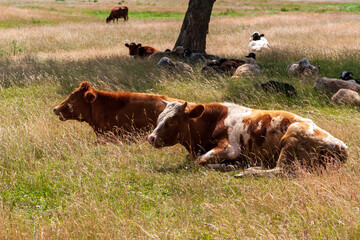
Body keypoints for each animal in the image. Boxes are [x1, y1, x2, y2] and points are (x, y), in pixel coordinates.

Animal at [148, 100, 348, 177]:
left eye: (172, 120)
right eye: (159, 117)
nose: (151, 138)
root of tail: (342, 146)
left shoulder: (229, 148)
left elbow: (198, 162)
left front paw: (228, 166)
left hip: (292, 136)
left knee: (280, 170)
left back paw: (247, 171)